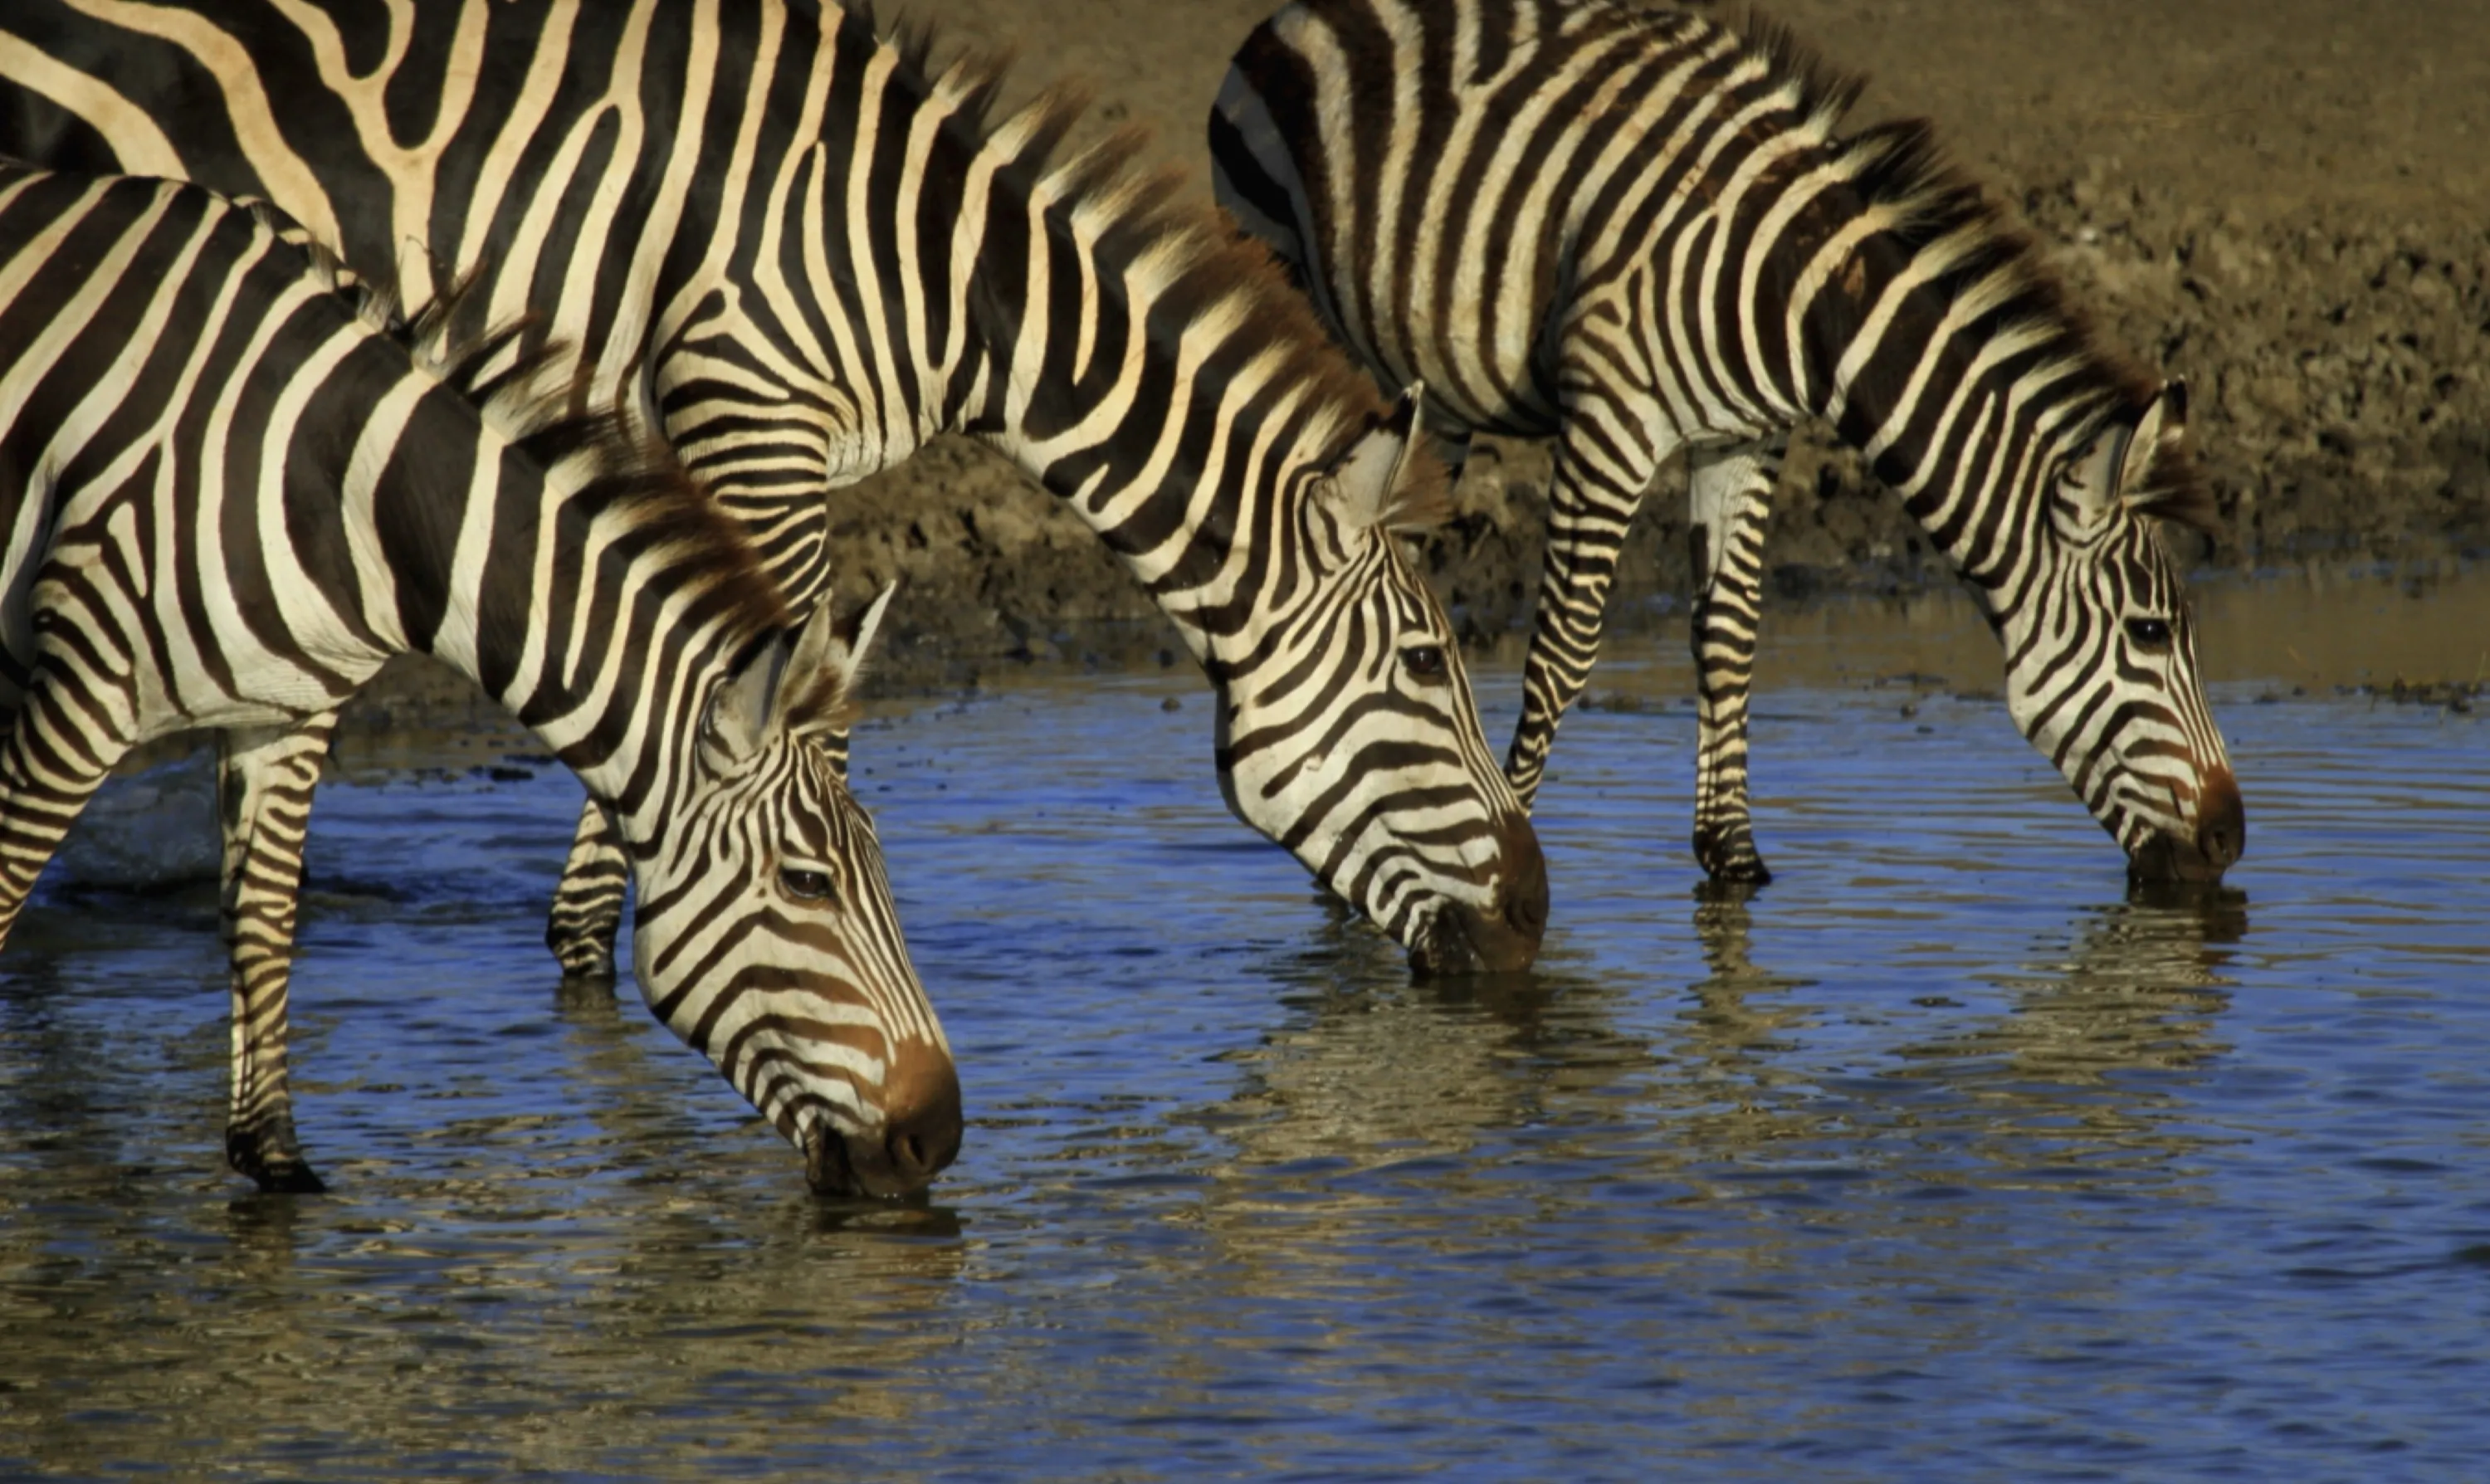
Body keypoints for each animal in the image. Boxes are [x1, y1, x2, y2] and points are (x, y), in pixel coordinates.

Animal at [0, 0, 1550, 974]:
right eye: (1430, 661)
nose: (1536, 921)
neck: (935, 270)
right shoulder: (751, 407)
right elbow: (786, 702)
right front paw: (621, 951)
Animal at [0, 161, 961, 1198]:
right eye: (808, 883)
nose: (941, 1136)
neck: (353, 494)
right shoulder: (83, 691)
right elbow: (10, 890)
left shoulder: (290, 713)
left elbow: (264, 924)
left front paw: (278, 1163)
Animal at [1209, 0, 2246, 885]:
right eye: (2152, 633)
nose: (2230, 841)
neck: (1802, 296)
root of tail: (1304, 12)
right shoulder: (1613, 420)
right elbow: (1564, 649)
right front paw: (1515, 831)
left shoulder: (1747, 438)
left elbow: (1729, 636)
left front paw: (1733, 856)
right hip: (1289, 283)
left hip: (1429, 388)